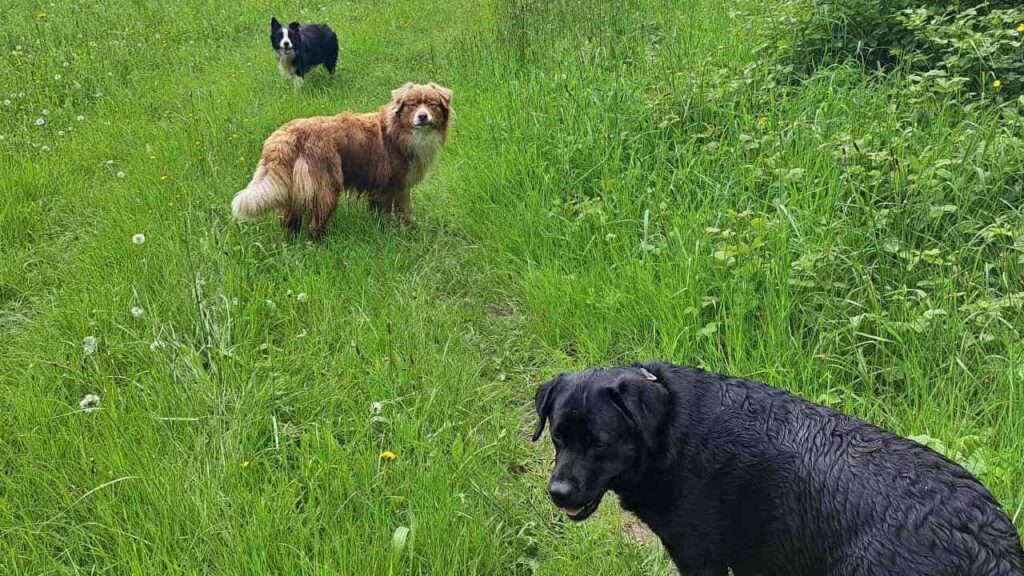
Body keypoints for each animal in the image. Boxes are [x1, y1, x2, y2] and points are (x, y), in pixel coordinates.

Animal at [237, 81, 454, 236]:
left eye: (432, 104)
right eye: (412, 105)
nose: (423, 116)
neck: (399, 131)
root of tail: (286, 133)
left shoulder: (398, 186)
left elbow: (404, 212)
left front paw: (409, 231)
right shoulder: (387, 186)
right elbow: (388, 213)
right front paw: (388, 232)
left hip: (296, 186)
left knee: (289, 220)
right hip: (327, 186)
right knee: (315, 224)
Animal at [532, 362, 1019, 573]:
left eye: (600, 443)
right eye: (558, 437)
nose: (558, 493)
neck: (668, 430)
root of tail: (988, 540)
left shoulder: (702, 558)